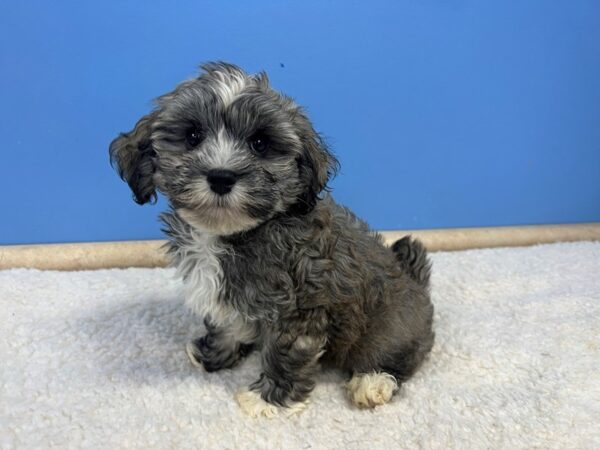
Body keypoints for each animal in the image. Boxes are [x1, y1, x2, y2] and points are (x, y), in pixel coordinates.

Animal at [110, 61, 434, 416]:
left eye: (260, 143)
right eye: (193, 136)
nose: (221, 176)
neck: (232, 234)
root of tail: (417, 282)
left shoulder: (299, 310)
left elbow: (286, 353)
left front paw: (267, 399)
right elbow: (228, 323)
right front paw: (214, 353)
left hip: (392, 327)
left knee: (397, 355)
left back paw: (372, 381)